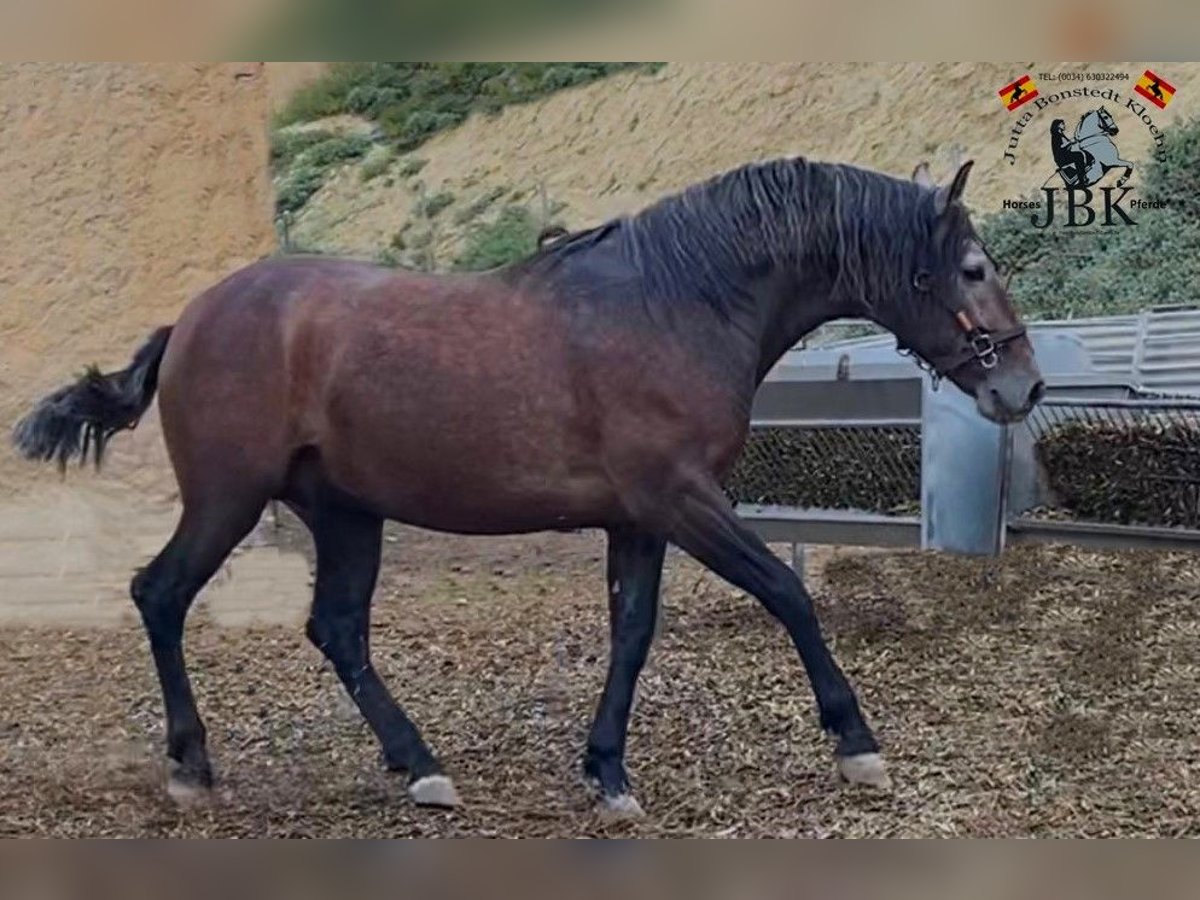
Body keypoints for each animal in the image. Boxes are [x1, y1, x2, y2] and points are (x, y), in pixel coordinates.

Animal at [9, 154, 1041, 816]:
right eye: (973, 266)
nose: (1024, 387)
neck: (674, 301)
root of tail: (189, 321)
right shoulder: (683, 500)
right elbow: (788, 592)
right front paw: (856, 744)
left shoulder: (640, 519)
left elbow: (633, 632)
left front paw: (608, 770)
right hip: (228, 499)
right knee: (160, 594)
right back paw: (192, 766)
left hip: (344, 514)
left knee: (335, 630)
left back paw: (420, 768)